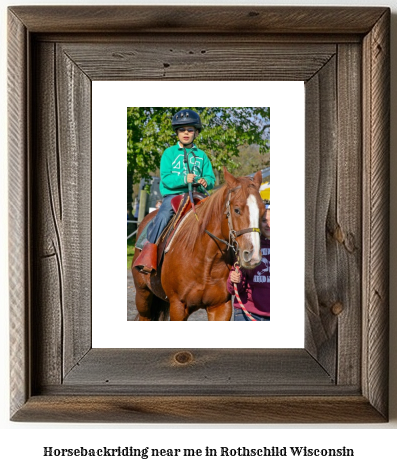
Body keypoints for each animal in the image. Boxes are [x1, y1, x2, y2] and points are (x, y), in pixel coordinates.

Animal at [131, 169, 264, 320]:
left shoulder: (221, 307)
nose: (253, 256)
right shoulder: (178, 307)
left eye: (262, 210)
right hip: (143, 295)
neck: (205, 259)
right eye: (237, 209)